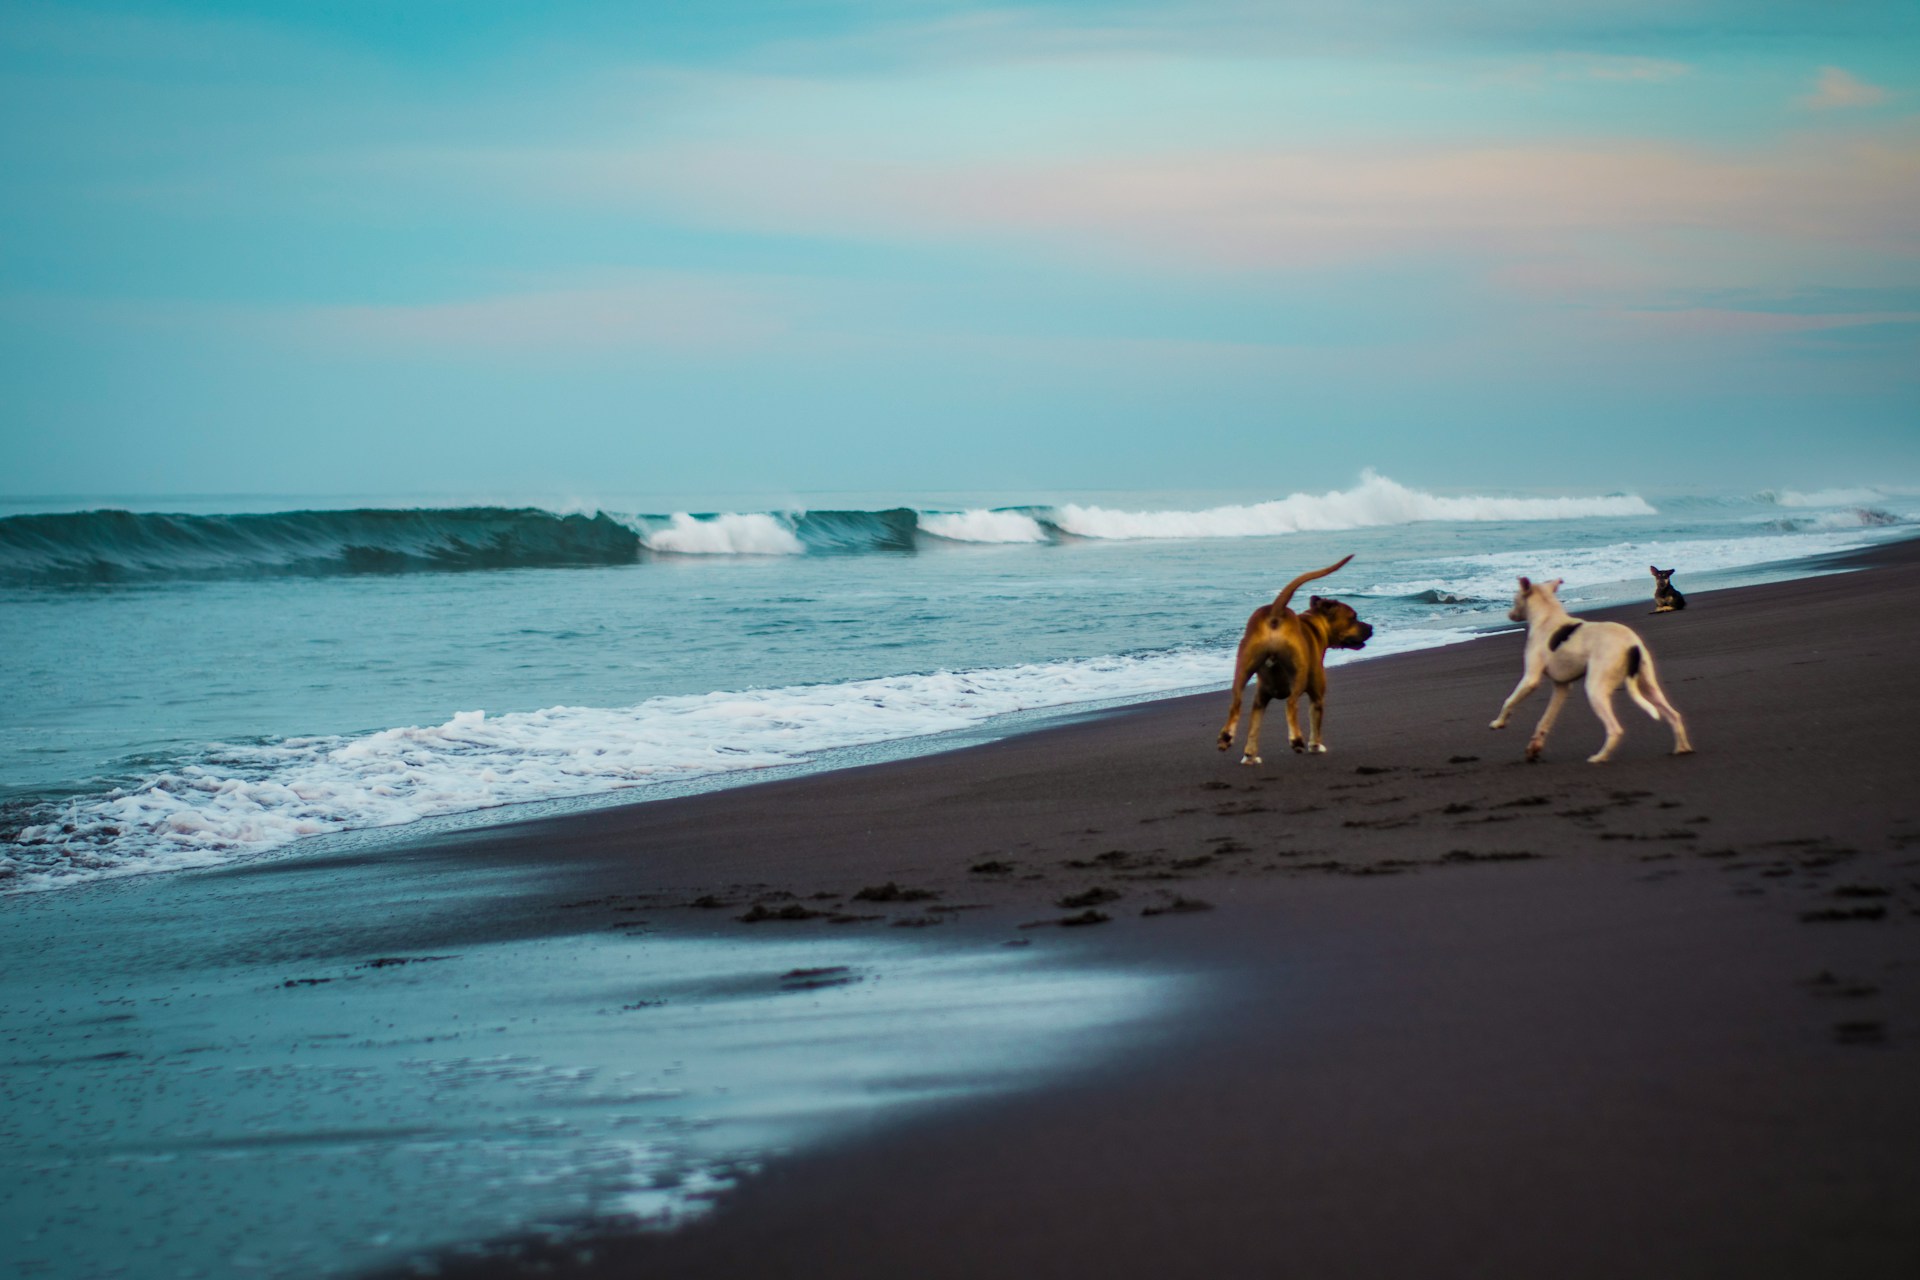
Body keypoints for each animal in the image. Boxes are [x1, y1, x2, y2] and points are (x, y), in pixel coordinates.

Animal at [1221, 556, 1374, 767]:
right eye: (1353, 617)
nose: (1371, 627)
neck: (1315, 624)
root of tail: (1275, 612)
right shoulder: (1317, 697)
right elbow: (1316, 723)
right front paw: (1315, 745)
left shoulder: (1261, 698)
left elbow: (1254, 727)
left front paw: (1249, 755)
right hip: (1299, 673)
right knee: (1291, 704)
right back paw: (1296, 740)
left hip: (1243, 668)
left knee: (1236, 702)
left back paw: (1226, 737)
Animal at [1482, 575, 1697, 767]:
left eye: (1514, 598)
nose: (1509, 615)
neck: (1548, 617)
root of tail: (1631, 645)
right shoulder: (1561, 687)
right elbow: (1545, 720)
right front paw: (1534, 748)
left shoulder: (1530, 679)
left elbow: (1509, 701)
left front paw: (1498, 723)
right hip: (1649, 685)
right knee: (1674, 715)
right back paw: (1682, 748)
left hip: (1596, 690)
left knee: (1615, 729)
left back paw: (1599, 757)